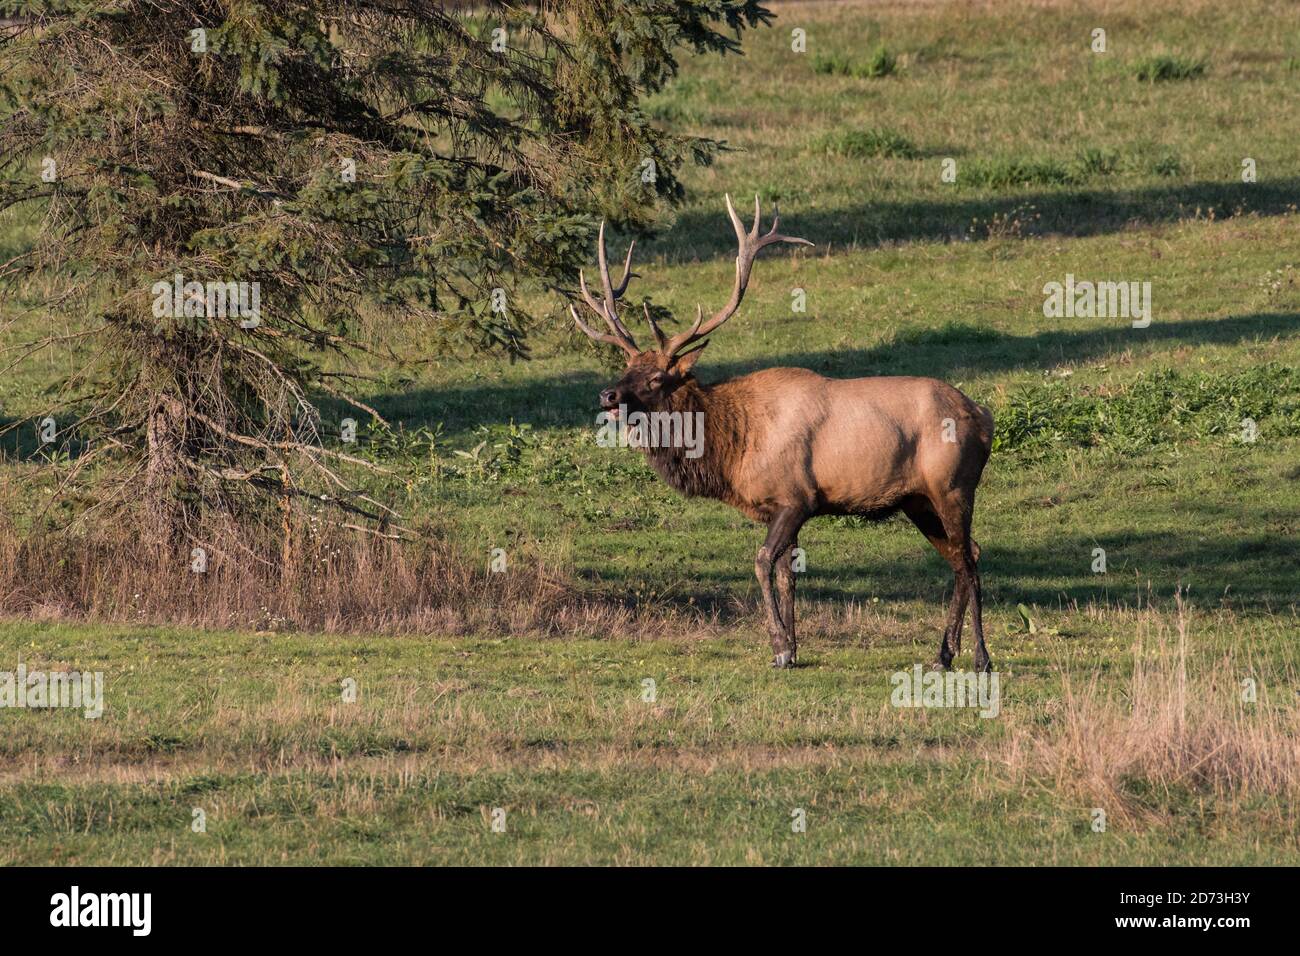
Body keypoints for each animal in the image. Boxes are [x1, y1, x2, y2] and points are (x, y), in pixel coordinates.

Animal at [572, 197, 993, 671]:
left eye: (658, 377)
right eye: (627, 367)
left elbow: (761, 562)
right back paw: (944, 653)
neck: (735, 449)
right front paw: (792, 647)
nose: (607, 394)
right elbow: (787, 574)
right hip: (918, 500)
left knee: (968, 558)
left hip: (953, 486)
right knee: (964, 555)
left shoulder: (797, 498)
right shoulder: (786, 509)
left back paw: (980, 656)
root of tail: (984, 416)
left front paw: (777, 645)